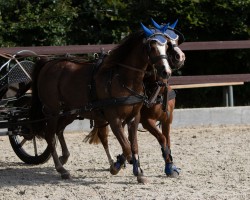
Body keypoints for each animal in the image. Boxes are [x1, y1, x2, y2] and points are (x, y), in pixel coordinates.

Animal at [28, 27, 170, 184]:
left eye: (166, 46)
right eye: (152, 47)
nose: (166, 71)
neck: (123, 78)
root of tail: (48, 63)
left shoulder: (134, 118)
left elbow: (133, 146)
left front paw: (138, 172)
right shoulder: (114, 119)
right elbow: (126, 147)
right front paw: (117, 166)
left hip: (69, 112)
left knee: (59, 131)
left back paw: (64, 157)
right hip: (53, 111)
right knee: (50, 136)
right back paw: (61, 169)